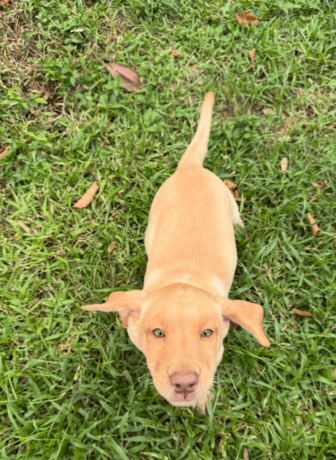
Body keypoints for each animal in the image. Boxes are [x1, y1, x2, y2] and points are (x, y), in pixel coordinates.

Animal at [81, 92, 270, 414]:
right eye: (158, 333)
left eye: (207, 333)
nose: (184, 384)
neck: (184, 276)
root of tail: (190, 168)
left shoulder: (217, 351)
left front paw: (202, 400)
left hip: (226, 198)